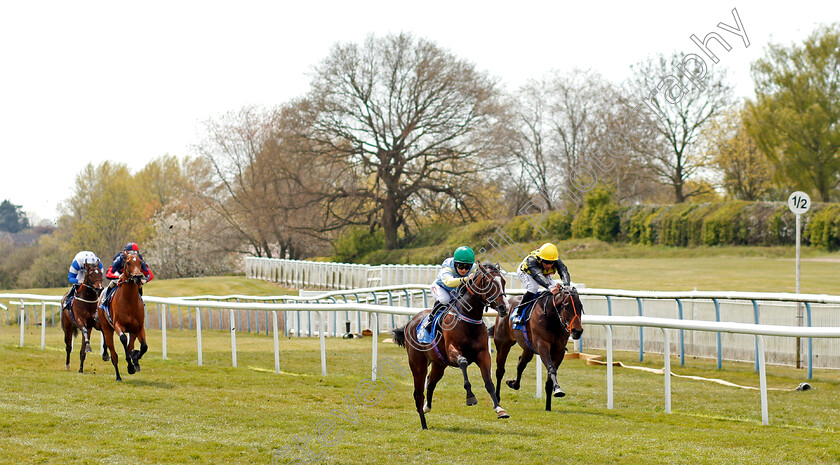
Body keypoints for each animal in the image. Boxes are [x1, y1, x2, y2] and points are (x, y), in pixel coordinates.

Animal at [98, 250, 149, 380]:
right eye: (128, 263)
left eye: (140, 262)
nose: (137, 277)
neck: (129, 301)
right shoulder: (118, 325)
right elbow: (123, 339)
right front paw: (130, 366)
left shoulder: (139, 327)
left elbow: (144, 347)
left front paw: (135, 357)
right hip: (107, 329)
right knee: (114, 355)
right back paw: (118, 376)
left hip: (133, 330)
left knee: (131, 346)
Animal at [396, 262, 508, 430]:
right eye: (488, 283)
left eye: (503, 282)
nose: (504, 308)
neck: (468, 319)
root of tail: (411, 322)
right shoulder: (452, 351)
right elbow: (463, 362)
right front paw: (470, 397)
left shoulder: (483, 354)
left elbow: (489, 382)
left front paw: (500, 409)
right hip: (418, 364)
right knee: (418, 393)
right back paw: (424, 424)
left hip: (439, 364)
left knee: (430, 382)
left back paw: (427, 407)